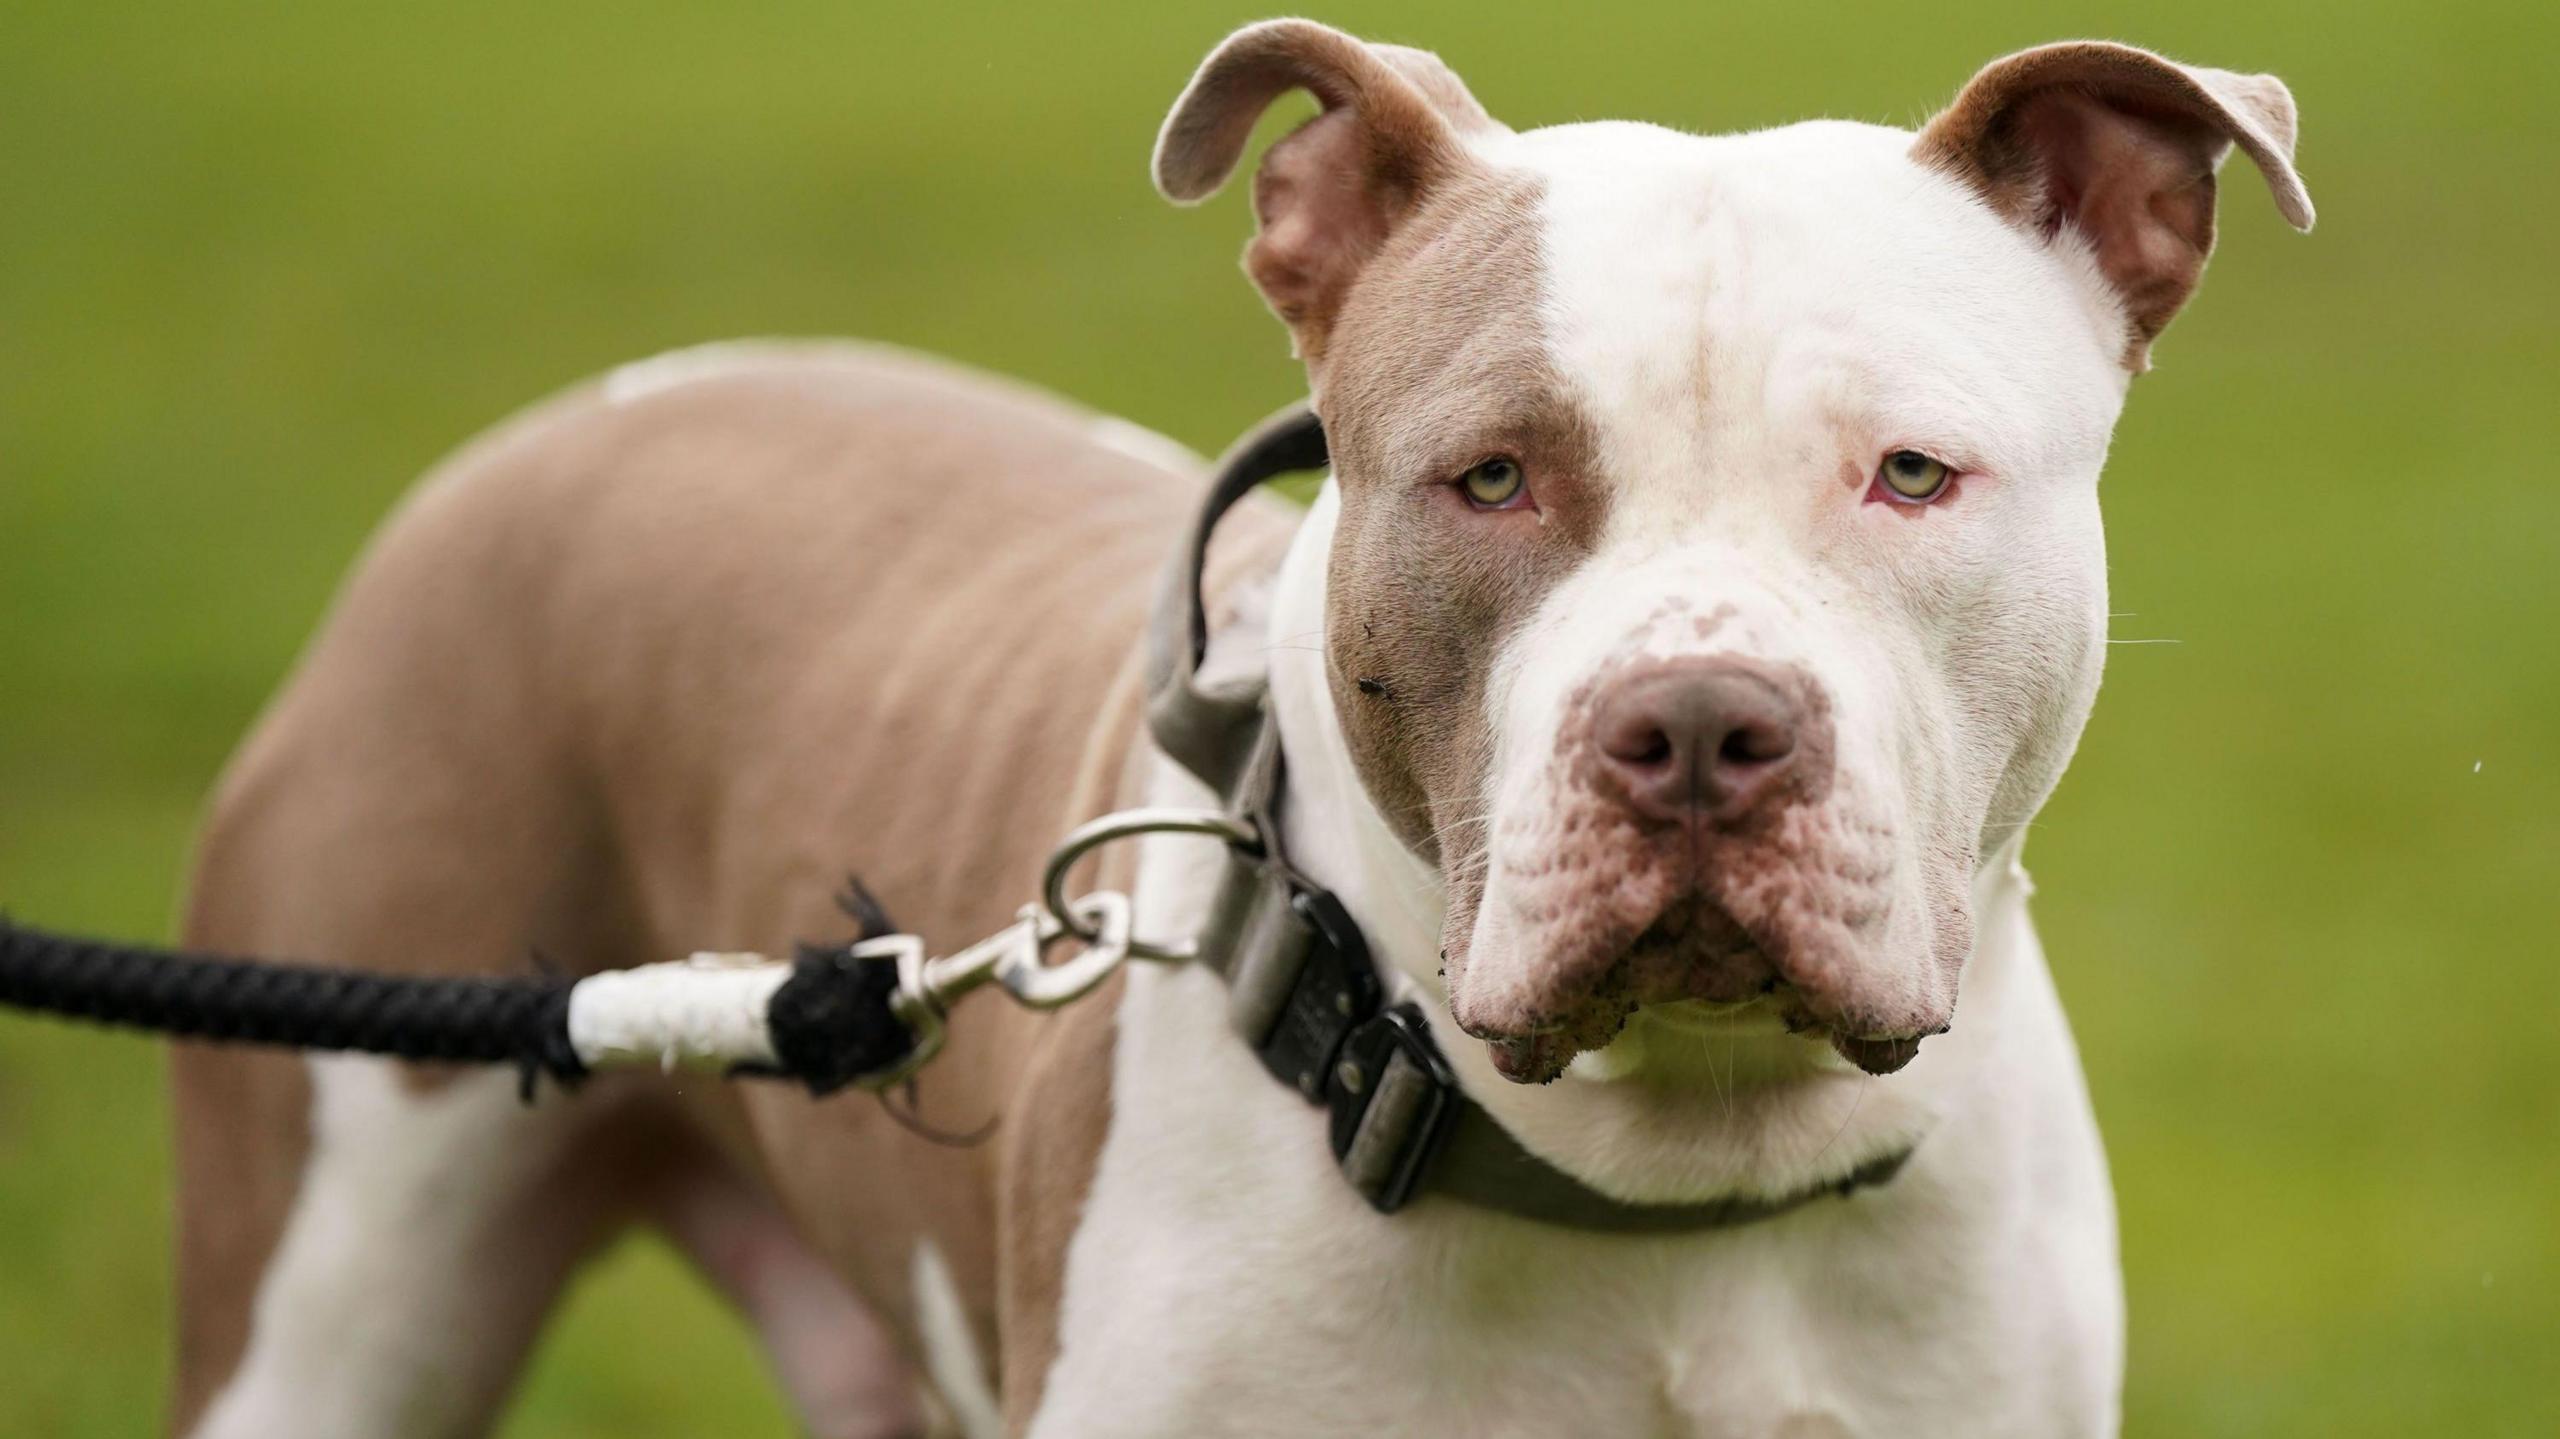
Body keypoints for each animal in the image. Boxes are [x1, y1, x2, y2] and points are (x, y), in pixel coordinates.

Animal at [170, 22, 2314, 1433]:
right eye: (1490, 477)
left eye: (1911, 474)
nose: (1702, 725)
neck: (1671, 1182)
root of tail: (577, 417)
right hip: (330, 1285)